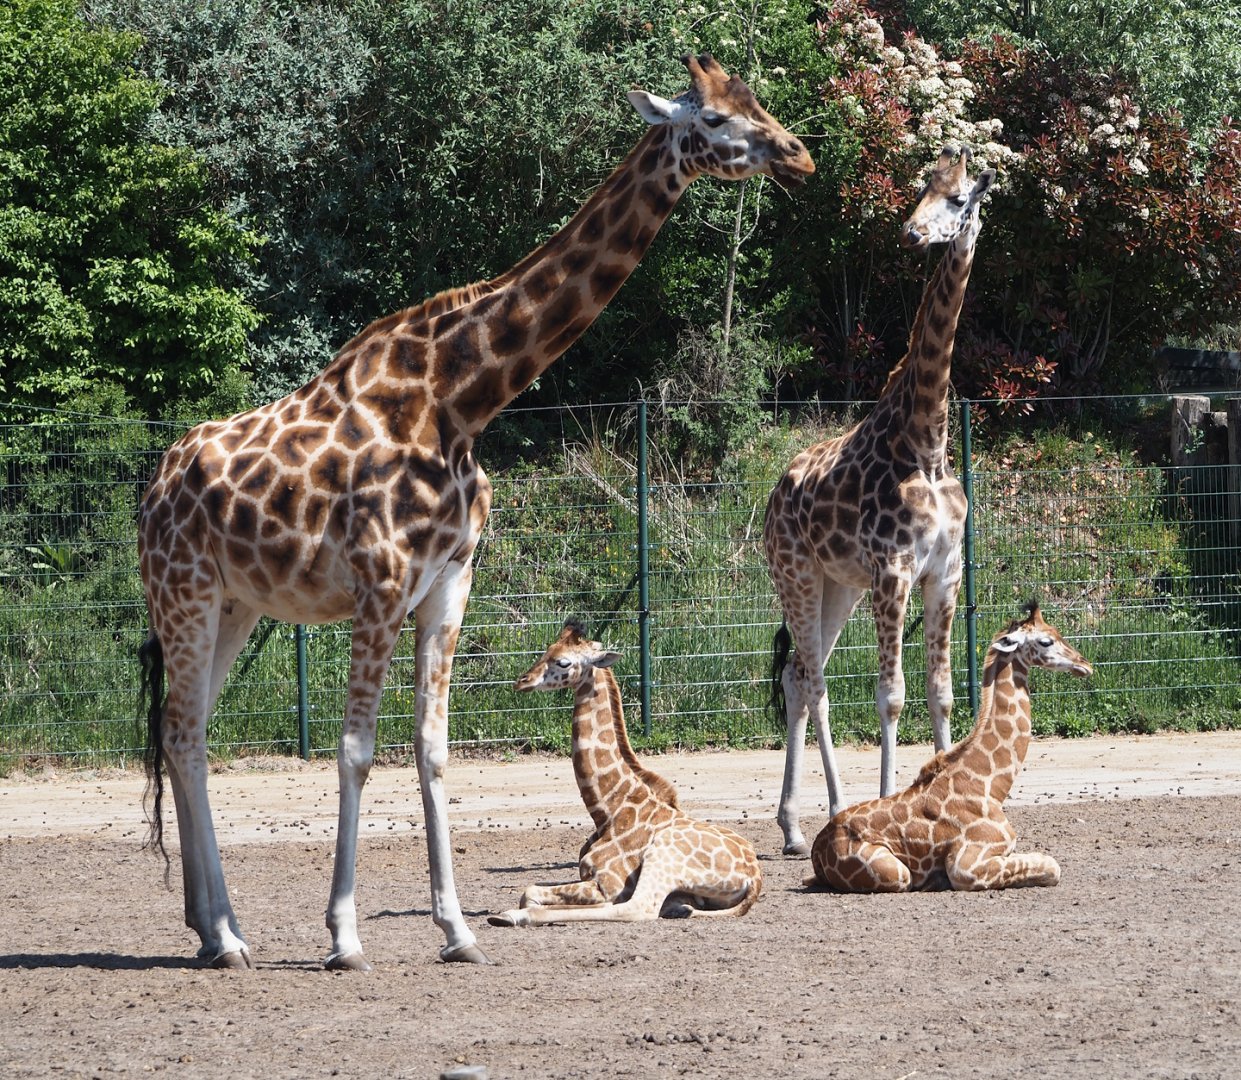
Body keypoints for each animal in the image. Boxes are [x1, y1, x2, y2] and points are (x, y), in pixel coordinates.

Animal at [487, 620, 762, 925]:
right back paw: (679, 908)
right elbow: (530, 891)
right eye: (548, 649)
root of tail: (754, 878)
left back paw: (511, 916)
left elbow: (533, 891)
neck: (607, 811)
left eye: (563, 662)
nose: (522, 681)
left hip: (663, 854)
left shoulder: (608, 883)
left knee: (637, 908)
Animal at [763, 146, 995, 854]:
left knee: (797, 678)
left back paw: (794, 823)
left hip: (838, 586)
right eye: (923, 186)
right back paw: (830, 813)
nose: (912, 233)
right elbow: (890, 694)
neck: (929, 437)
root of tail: (773, 496)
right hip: (796, 574)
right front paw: (892, 805)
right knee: (814, 684)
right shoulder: (893, 570)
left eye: (960, 199)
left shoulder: (944, 573)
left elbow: (942, 692)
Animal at [807, 603, 1092, 892]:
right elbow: (1052, 866)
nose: (1085, 664)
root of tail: (817, 851)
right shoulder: (966, 864)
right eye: (1046, 641)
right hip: (896, 872)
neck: (991, 786)